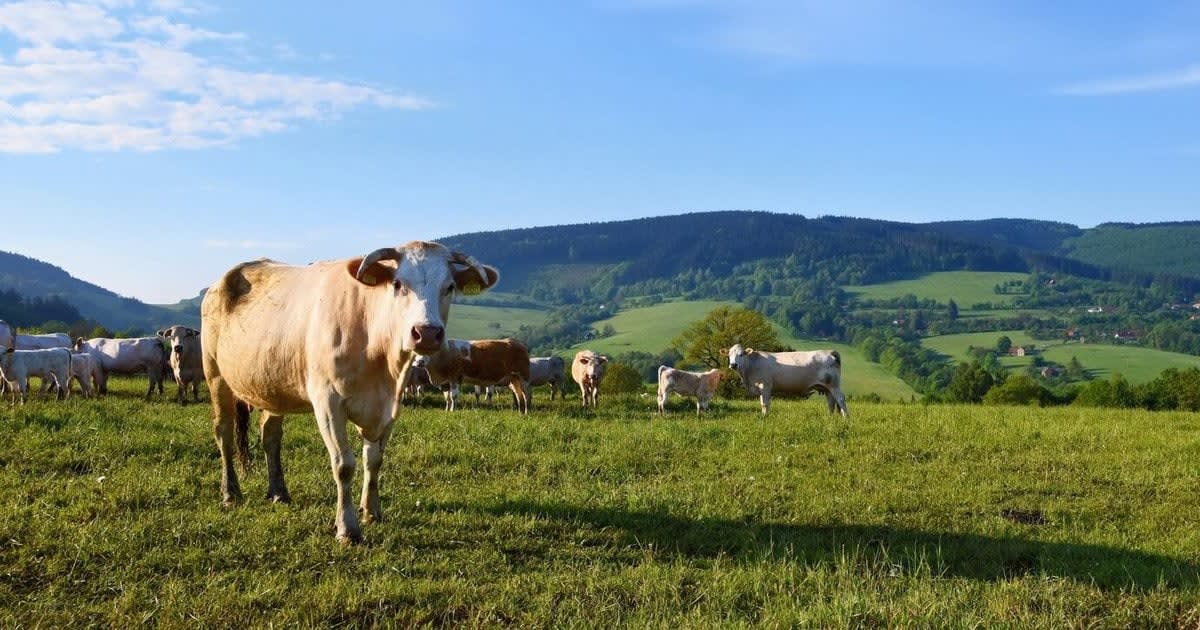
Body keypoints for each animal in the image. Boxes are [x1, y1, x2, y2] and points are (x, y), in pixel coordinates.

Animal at [201, 241, 498, 544]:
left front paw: (372, 511)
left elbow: (374, 461)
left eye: (449, 286)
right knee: (224, 433)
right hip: (215, 374)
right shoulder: (328, 403)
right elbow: (344, 464)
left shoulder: (389, 407)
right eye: (398, 284)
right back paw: (230, 493)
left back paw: (278, 492)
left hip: (272, 384)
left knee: (270, 436)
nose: (426, 333)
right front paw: (348, 528)